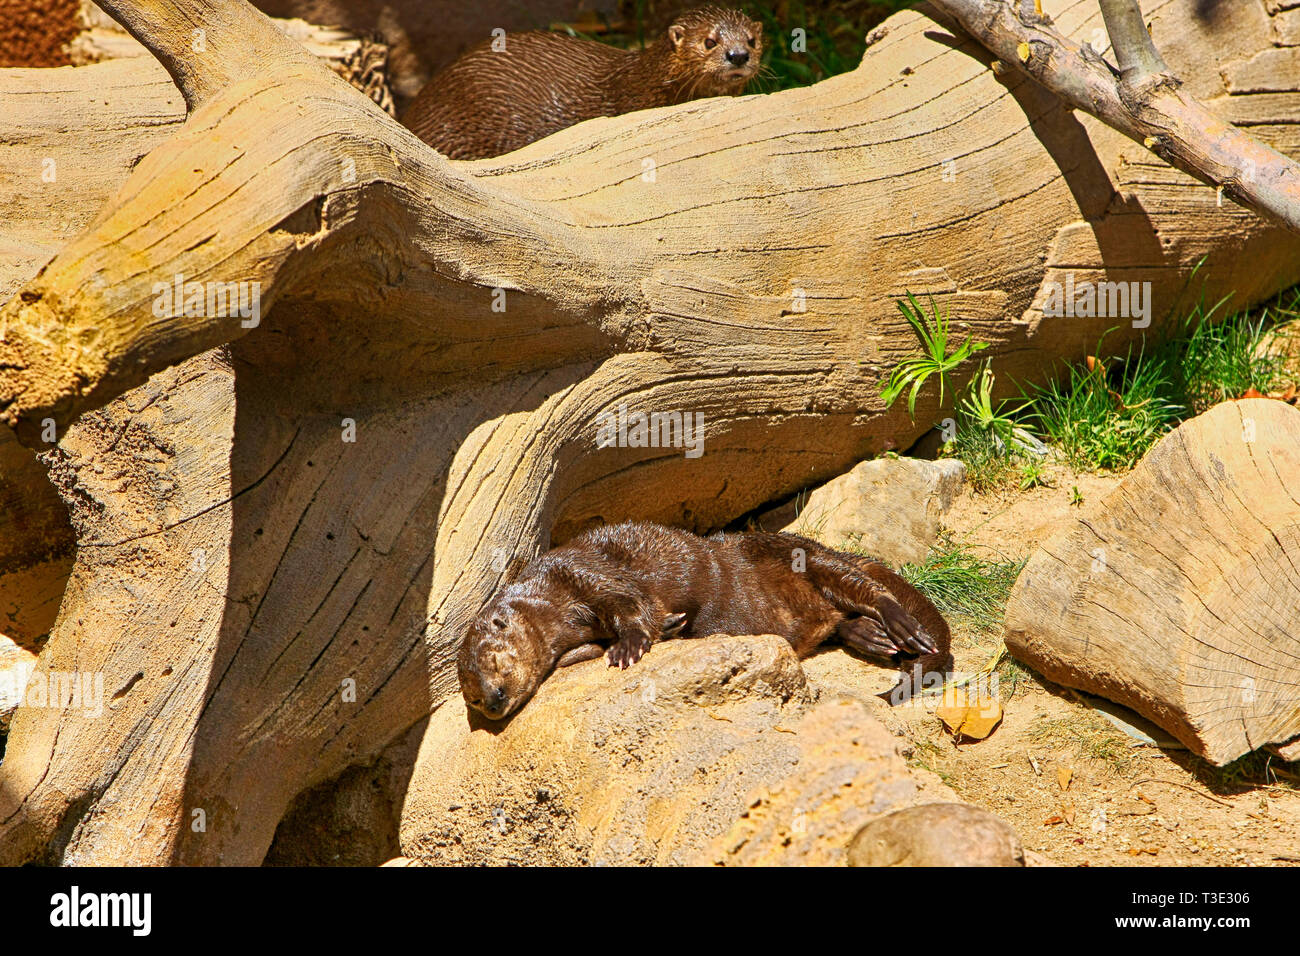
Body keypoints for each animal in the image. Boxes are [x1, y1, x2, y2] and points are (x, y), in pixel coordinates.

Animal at [458, 522, 953, 720]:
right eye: (475, 698)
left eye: (496, 664)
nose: (496, 701)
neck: (554, 604)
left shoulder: (588, 573)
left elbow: (633, 605)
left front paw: (629, 646)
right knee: (840, 618)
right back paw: (874, 638)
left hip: (810, 557)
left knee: (870, 590)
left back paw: (901, 627)